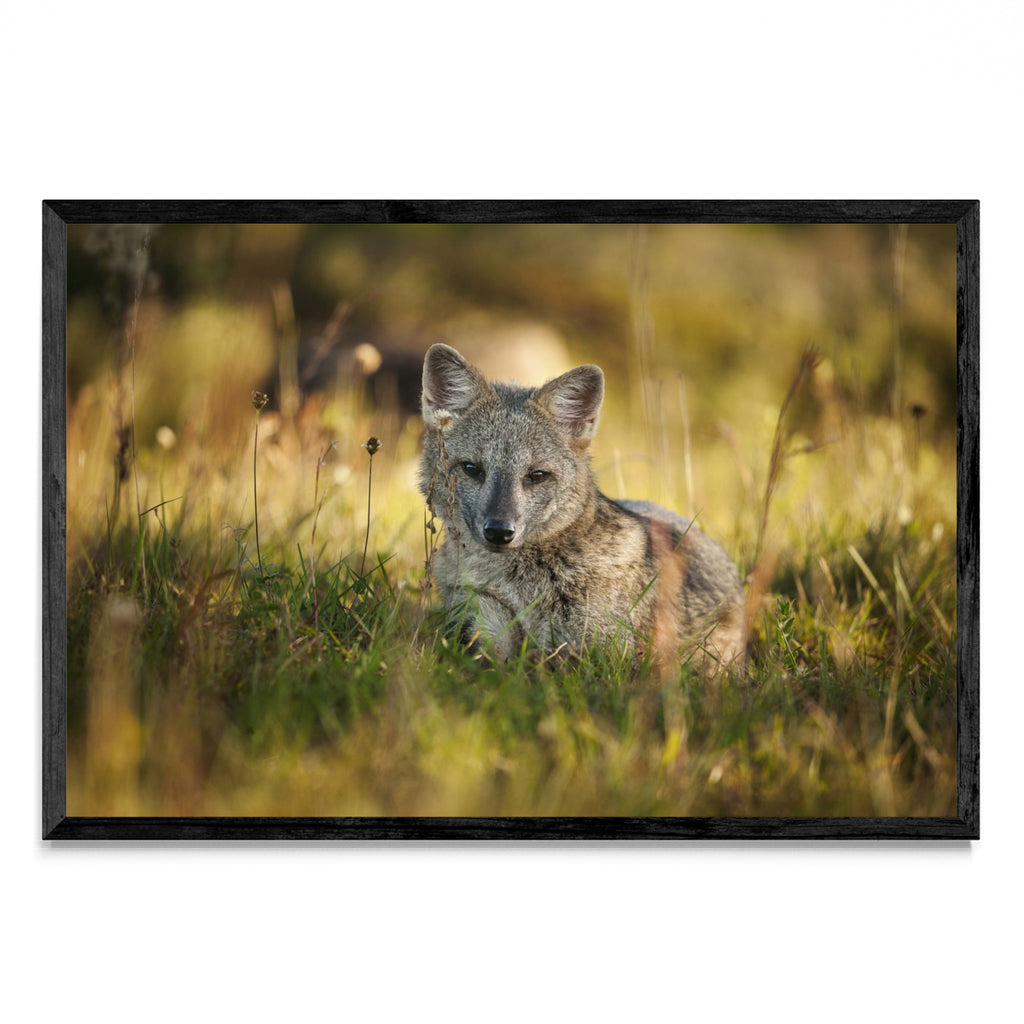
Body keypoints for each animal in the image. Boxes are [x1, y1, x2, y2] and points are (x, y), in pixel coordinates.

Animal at [419, 343, 746, 673]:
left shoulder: (607, 654)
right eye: (472, 469)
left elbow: (545, 660)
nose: (499, 531)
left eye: (537, 475)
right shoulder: (480, 627)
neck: (521, 589)